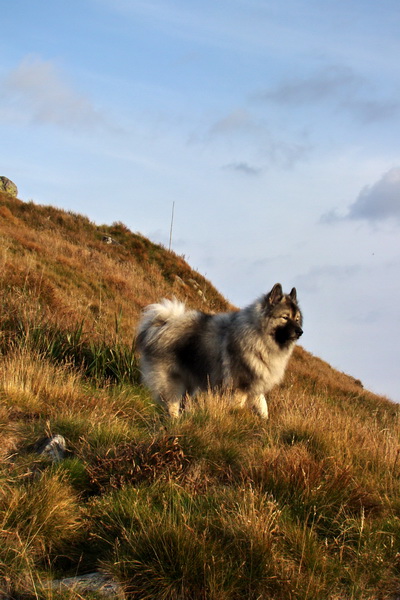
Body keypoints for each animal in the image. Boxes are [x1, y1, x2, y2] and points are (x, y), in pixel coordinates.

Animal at [136, 284, 302, 418]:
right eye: (285, 317)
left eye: (297, 319)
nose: (300, 331)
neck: (258, 336)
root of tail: (163, 324)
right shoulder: (238, 387)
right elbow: (238, 406)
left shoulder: (254, 384)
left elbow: (263, 405)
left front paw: (264, 421)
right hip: (172, 381)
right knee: (172, 404)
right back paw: (175, 421)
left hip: (190, 383)